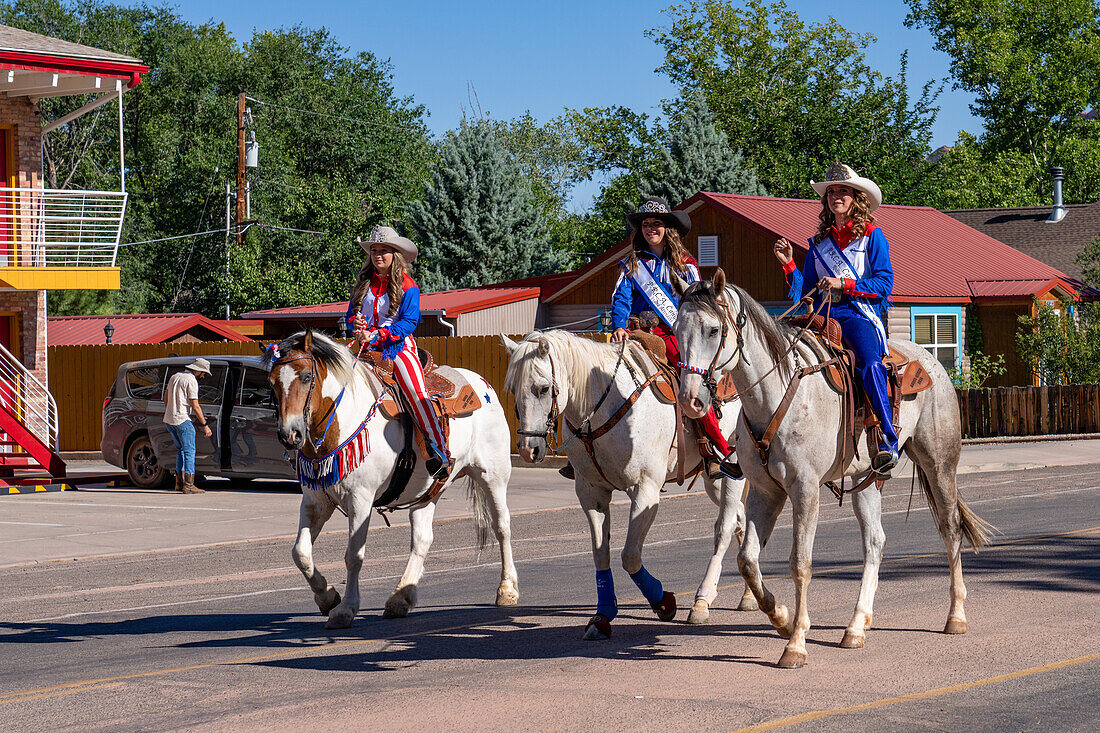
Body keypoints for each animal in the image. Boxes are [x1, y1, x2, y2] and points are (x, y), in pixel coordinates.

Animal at [269, 327, 519, 625]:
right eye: (272, 382)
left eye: (307, 376)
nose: (289, 434)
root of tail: (482, 383)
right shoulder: (315, 501)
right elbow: (301, 553)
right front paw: (328, 597)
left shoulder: (361, 500)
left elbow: (354, 555)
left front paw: (346, 609)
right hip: (428, 493)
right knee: (422, 539)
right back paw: (401, 598)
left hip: (493, 476)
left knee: (502, 526)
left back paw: (507, 589)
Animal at [501, 327, 752, 638]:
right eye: (513, 389)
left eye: (543, 388)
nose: (528, 449)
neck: (602, 409)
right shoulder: (591, 493)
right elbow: (601, 555)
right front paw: (602, 616)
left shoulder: (645, 491)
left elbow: (630, 556)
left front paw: (663, 601)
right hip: (715, 480)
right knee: (741, 520)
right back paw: (749, 595)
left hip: (732, 477)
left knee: (725, 527)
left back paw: (702, 602)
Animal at [673, 269, 994, 669]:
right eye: (676, 328)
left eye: (713, 330)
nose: (690, 400)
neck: (777, 393)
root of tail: (930, 362)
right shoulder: (765, 491)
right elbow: (747, 560)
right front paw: (780, 617)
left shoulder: (804, 490)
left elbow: (800, 563)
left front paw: (795, 644)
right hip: (866, 480)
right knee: (875, 542)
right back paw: (856, 626)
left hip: (940, 465)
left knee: (950, 529)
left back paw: (956, 616)